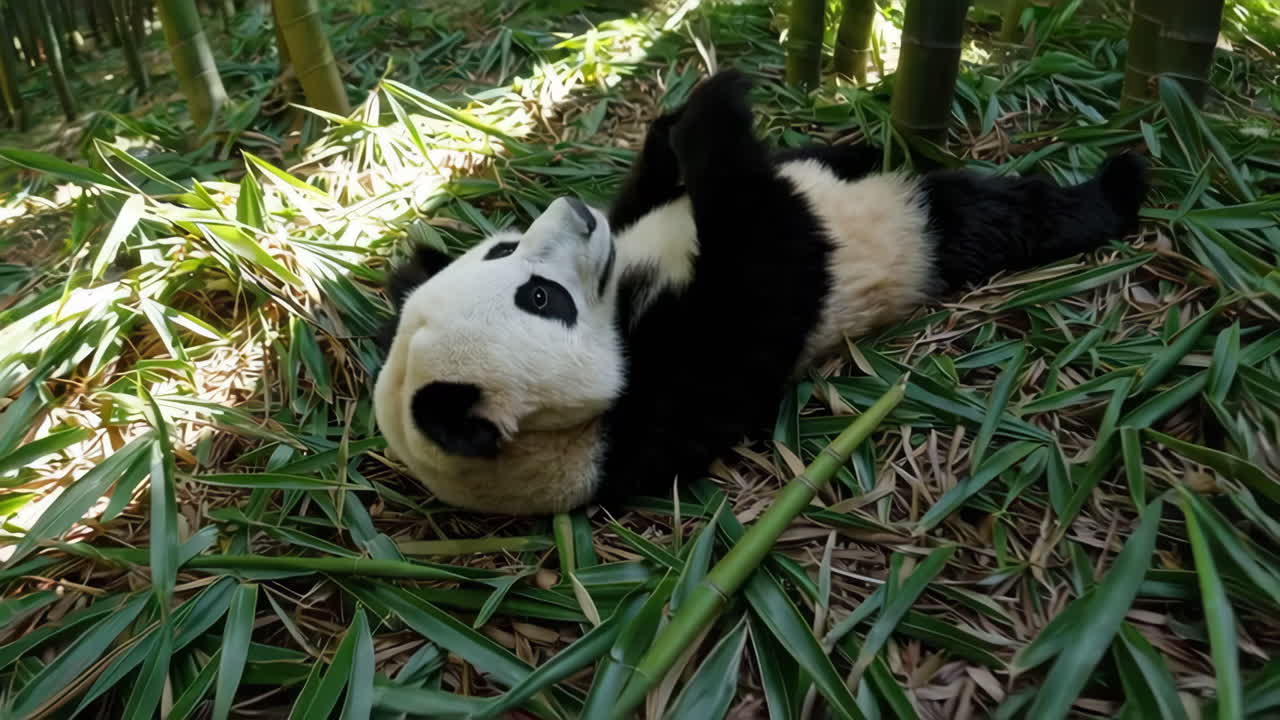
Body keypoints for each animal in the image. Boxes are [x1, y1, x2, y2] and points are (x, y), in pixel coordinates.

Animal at [373, 68, 1149, 516]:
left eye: (501, 251)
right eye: (540, 299)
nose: (574, 212)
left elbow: (653, 194)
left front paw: (682, 113)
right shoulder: (662, 413)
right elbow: (769, 265)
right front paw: (718, 111)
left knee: (840, 159)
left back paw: (864, 139)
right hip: (920, 232)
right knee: (991, 213)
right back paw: (1117, 186)